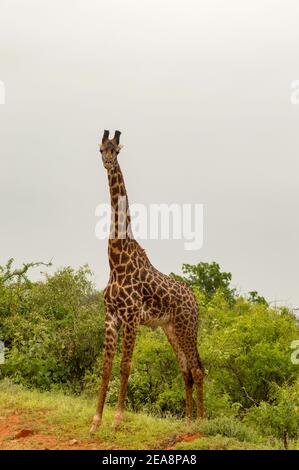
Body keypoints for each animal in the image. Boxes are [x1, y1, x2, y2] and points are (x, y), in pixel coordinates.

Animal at [90, 129, 205, 434]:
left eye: (116, 150)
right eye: (101, 150)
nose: (107, 162)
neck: (116, 261)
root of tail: (195, 302)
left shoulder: (131, 317)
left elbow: (125, 366)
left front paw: (117, 421)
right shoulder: (110, 315)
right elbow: (106, 367)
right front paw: (95, 422)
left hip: (186, 326)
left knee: (198, 369)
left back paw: (202, 424)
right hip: (170, 329)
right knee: (186, 371)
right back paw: (188, 421)